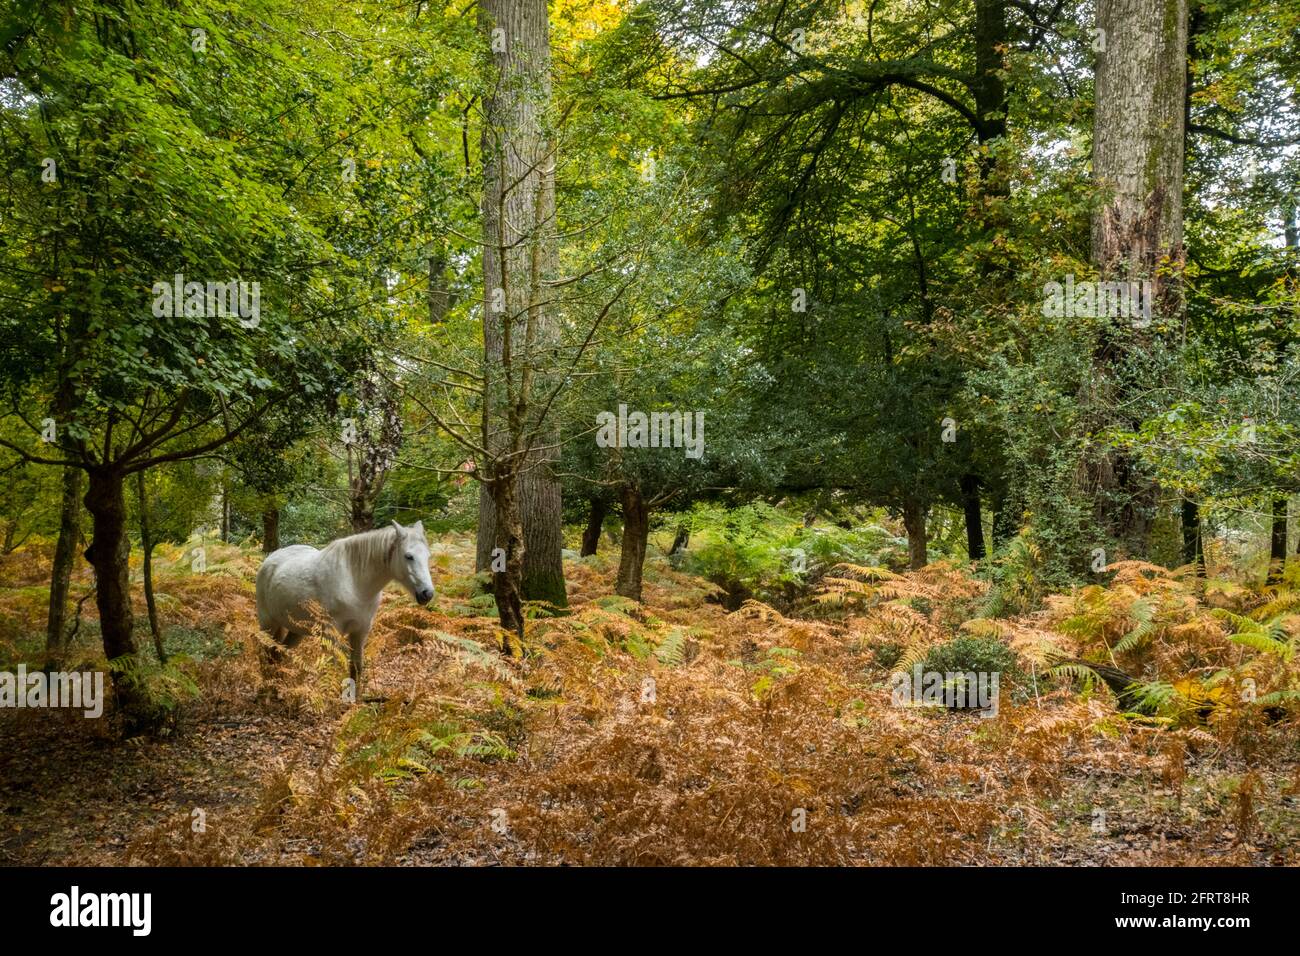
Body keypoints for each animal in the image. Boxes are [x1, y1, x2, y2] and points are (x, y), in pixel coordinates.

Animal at [254, 522, 436, 686]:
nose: (427, 593)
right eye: (408, 556)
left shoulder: (360, 632)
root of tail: (270, 560)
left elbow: (356, 669)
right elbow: (333, 671)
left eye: (428, 556)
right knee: (265, 653)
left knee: (279, 653)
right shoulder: (331, 634)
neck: (355, 583)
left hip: (296, 630)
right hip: (267, 623)